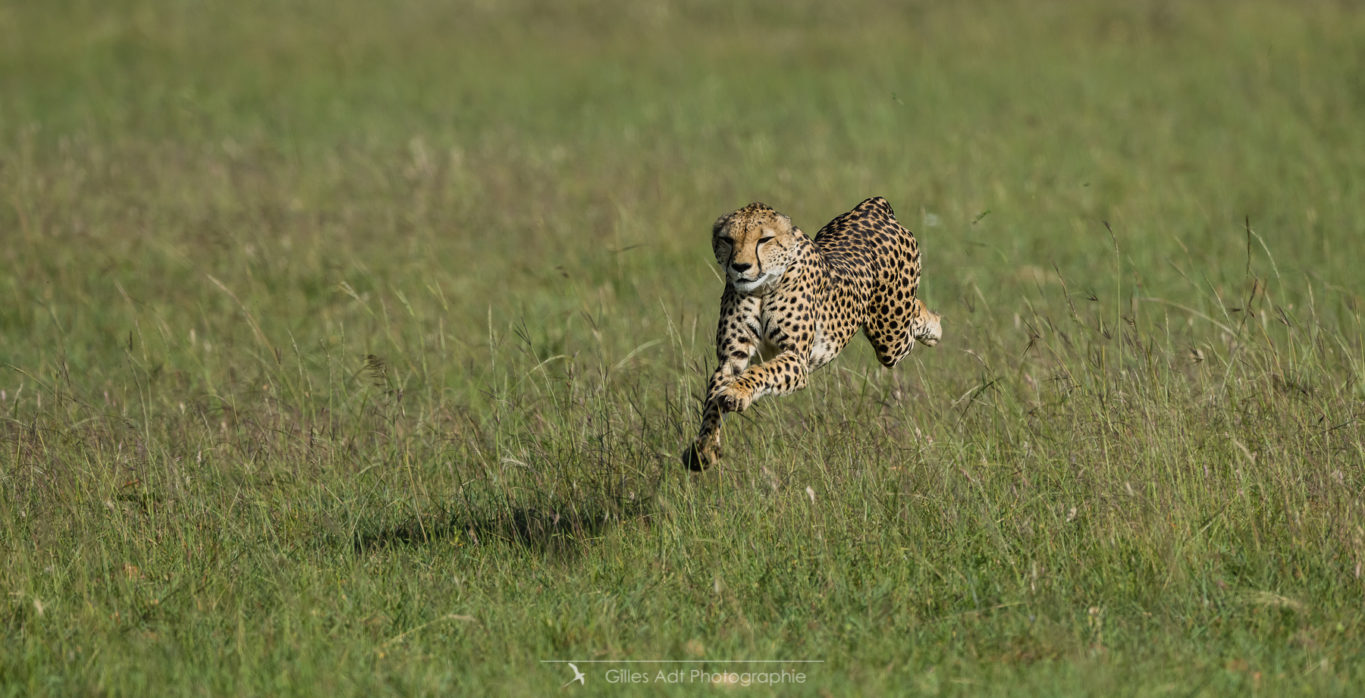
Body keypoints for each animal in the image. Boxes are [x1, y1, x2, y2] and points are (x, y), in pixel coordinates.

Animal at [679, 196, 939, 469]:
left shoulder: (796, 358)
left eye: (764, 239)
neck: (763, 287)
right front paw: (704, 449)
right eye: (728, 239)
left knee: (915, 313)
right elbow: (712, 403)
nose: (740, 266)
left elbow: (761, 372)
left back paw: (935, 329)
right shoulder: (731, 360)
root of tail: (871, 206)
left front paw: (737, 392)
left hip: (890, 336)